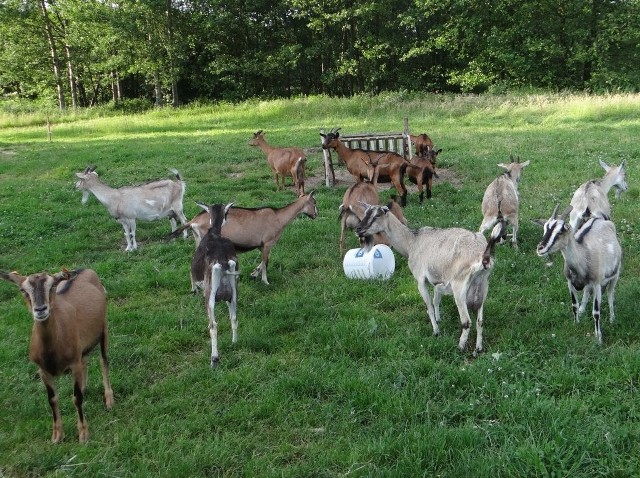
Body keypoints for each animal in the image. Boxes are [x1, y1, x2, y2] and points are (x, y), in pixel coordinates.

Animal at [0, 268, 114, 442]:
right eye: (23, 290)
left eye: (52, 285)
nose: (40, 309)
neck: (52, 351)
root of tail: (85, 269)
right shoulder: (42, 370)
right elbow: (52, 399)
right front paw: (57, 436)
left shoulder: (73, 364)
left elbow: (76, 398)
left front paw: (83, 434)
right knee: (85, 361)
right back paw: (84, 388)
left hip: (104, 330)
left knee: (103, 361)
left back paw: (109, 400)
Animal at [191, 202, 241, 366]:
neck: (213, 233)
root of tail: (223, 262)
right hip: (233, 292)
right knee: (234, 317)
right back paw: (234, 343)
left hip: (210, 295)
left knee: (213, 325)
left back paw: (214, 358)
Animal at [356, 203, 504, 354]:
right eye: (365, 213)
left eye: (377, 215)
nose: (359, 229)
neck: (412, 242)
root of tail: (484, 256)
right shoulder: (438, 282)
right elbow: (436, 300)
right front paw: (439, 320)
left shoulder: (420, 279)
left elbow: (429, 305)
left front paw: (436, 331)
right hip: (482, 286)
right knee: (480, 320)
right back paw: (478, 348)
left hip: (460, 287)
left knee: (466, 321)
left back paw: (460, 347)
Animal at [536, 205, 620, 344]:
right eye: (545, 228)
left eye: (560, 231)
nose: (540, 248)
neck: (583, 254)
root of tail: (598, 219)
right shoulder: (570, 282)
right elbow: (574, 305)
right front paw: (576, 323)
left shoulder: (597, 284)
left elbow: (596, 312)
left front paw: (599, 338)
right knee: (586, 292)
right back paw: (582, 310)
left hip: (615, 276)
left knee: (610, 294)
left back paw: (612, 319)